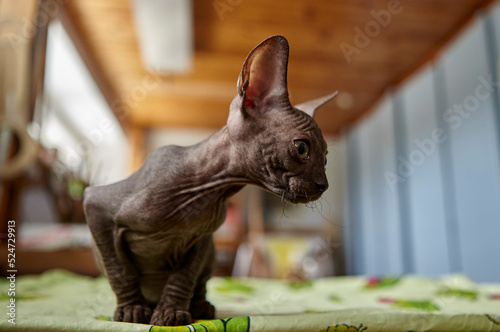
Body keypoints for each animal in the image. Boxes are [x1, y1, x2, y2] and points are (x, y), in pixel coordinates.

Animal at [84, 35, 338, 326]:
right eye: (302, 149)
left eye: (325, 160)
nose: (324, 184)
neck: (208, 191)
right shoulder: (95, 204)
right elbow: (119, 270)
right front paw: (131, 310)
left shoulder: (201, 239)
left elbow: (183, 277)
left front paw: (171, 311)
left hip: (211, 251)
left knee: (201, 282)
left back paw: (200, 307)